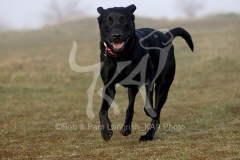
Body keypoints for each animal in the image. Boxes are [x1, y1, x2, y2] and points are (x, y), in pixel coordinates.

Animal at [95, 4, 193, 141]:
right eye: (108, 21)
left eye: (124, 20)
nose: (116, 35)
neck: (121, 56)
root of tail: (165, 36)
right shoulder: (109, 86)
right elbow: (102, 110)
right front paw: (106, 131)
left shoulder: (149, 78)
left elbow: (148, 105)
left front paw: (151, 112)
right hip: (132, 87)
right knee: (130, 108)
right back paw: (127, 129)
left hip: (163, 86)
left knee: (156, 115)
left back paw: (148, 135)